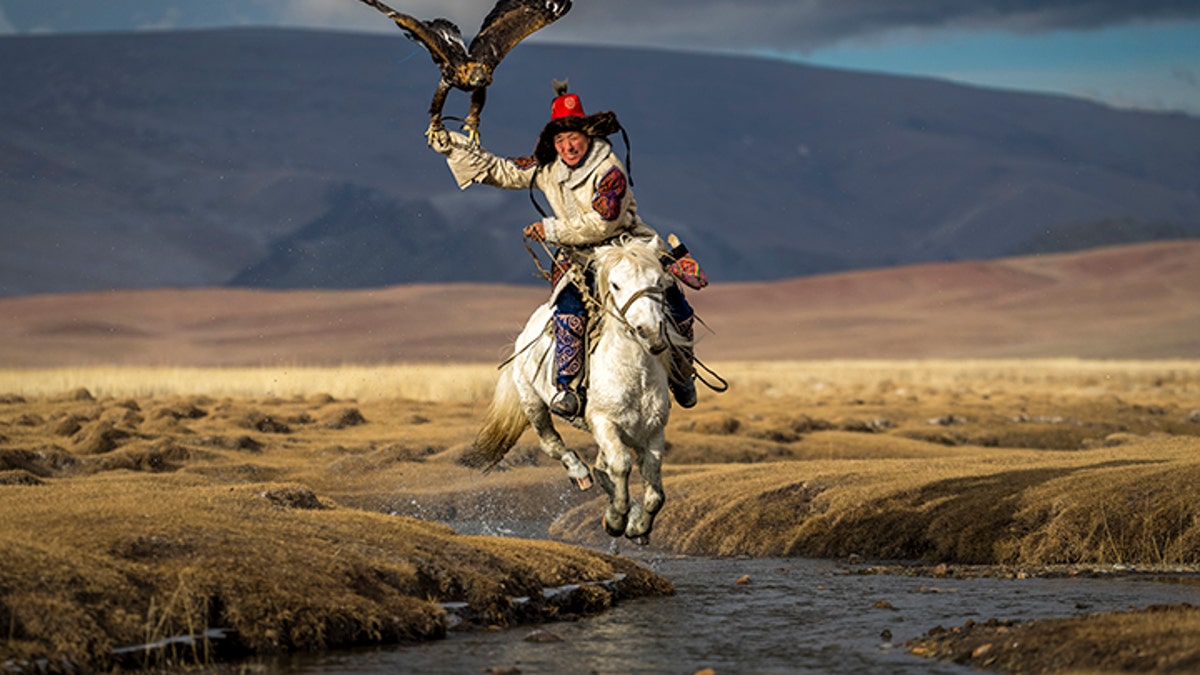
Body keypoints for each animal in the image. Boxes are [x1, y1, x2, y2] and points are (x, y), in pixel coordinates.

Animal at [463, 234, 681, 542]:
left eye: (659, 280)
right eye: (615, 284)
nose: (649, 332)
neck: (633, 375)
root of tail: (524, 333)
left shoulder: (653, 431)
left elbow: (655, 493)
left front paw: (638, 526)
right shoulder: (604, 423)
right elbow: (621, 465)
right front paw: (616, 520)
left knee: (601, 468)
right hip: (534, 403)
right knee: (552, 444)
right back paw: (579, 474)